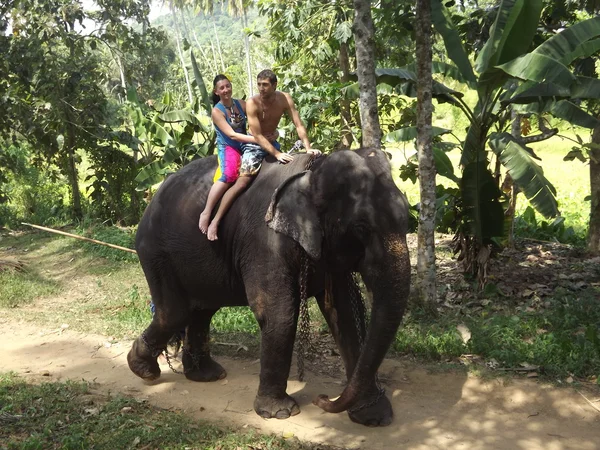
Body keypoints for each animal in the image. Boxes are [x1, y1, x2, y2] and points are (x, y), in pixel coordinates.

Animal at [128, 149, 410, 428]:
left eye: (408, 218)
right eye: (361, 228)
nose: (322, 398)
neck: (312, 172)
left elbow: (344, 313)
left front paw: (374, 417)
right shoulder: (264, 241)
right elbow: (278, 312)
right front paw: (280, 413)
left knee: (201, 310)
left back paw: (206, 375)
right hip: (155, 251)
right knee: (176, 312)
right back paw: (144, 369)